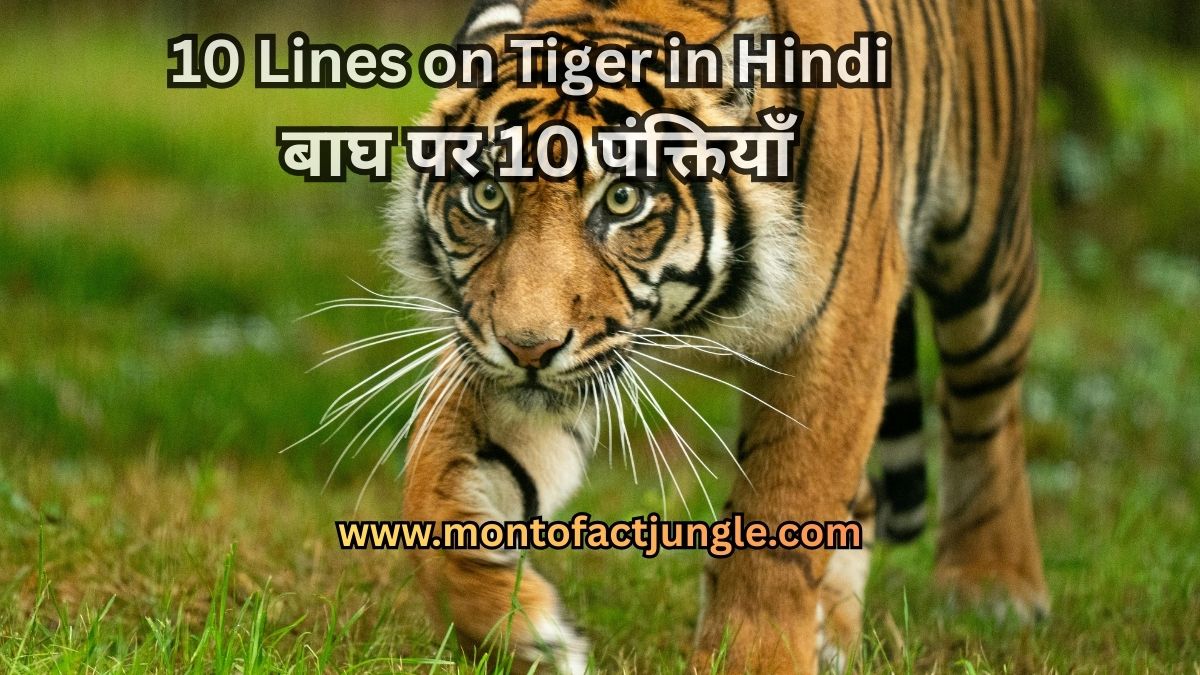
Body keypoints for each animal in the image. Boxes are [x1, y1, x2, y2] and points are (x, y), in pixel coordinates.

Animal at [384, 0, 1049, 671]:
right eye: (487, 194)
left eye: (622, 199)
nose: (528, 348)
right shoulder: (502, 351)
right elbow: (430, 494)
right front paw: (526, 640)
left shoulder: (839, 329)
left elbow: (784, 513)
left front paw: (754, 659)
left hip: (984, 254)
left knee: (987, 408)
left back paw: (993, 585)